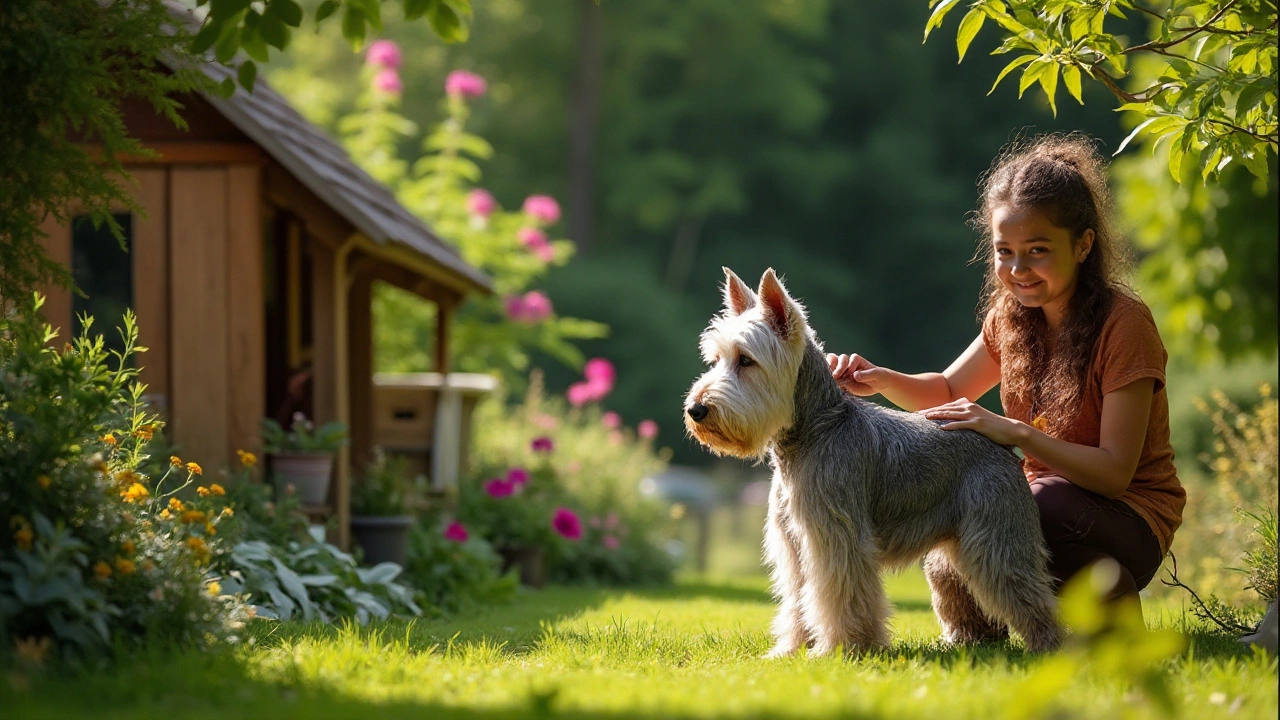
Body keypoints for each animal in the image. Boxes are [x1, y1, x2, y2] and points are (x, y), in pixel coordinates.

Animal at [686, 266, 1064, 653]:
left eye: (746, 360)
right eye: (715, 361)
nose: (695, 409)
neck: (818, 428)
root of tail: (1002, 448)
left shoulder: (835, 537)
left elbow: (840, 597)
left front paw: (839, 649)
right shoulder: (794, 545)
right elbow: (798, 600)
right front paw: (791, 649)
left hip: (998, 542)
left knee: (1034, 596)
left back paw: (1050, 647)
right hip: (956, 551)